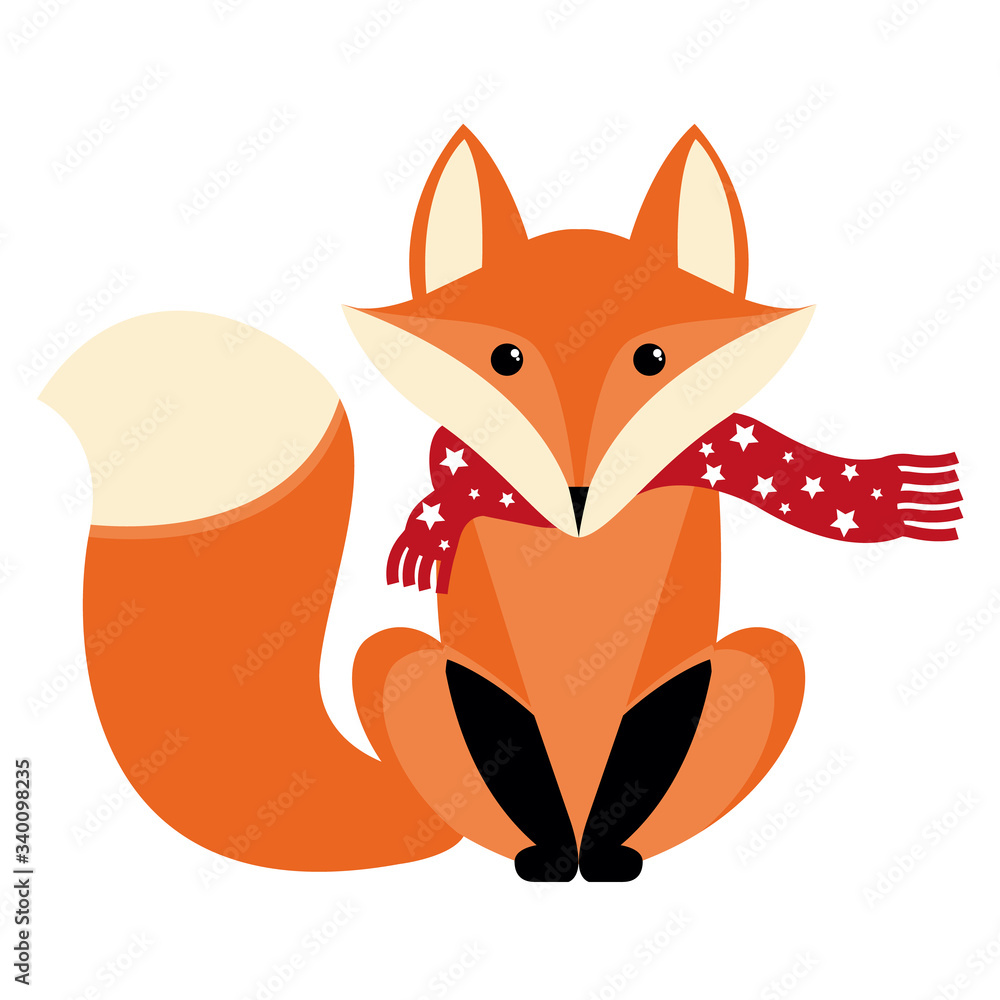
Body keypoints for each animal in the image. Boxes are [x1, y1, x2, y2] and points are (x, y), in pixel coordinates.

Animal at [41, 125, 959, 882]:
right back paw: (548, 855)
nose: (580, 494)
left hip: (762, 665)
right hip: (398, 664)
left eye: (653, 357)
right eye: (506, 358)